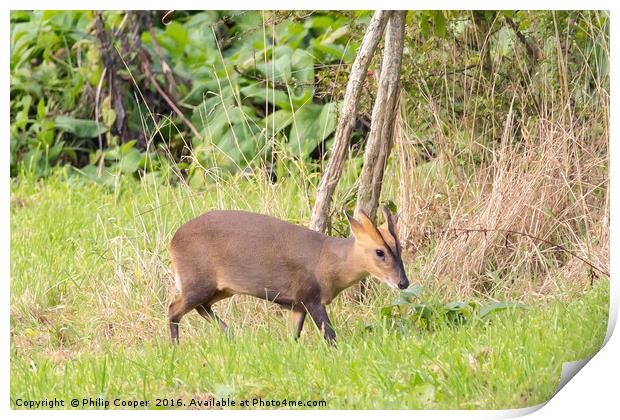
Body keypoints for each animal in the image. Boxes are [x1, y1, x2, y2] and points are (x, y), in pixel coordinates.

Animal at [167, 205, 410, 342]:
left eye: (400, 247)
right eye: (379, 252)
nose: (403, 283)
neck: (329, 263)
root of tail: (172, 242)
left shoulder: (297, 304)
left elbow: (294, 337)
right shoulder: (309, 296)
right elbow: (330, 335)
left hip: (221, 288)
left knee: (200, 307)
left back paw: (231, 334)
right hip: (197, 280)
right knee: (173, 309)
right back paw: (176, 348)